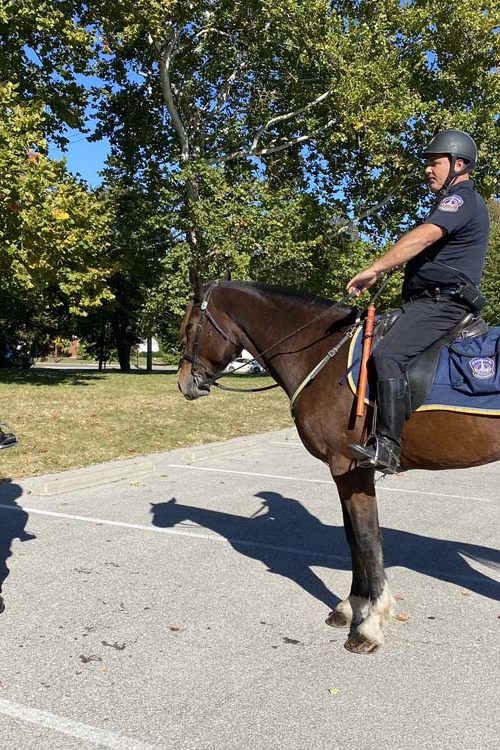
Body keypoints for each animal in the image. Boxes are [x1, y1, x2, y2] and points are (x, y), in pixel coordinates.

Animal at [178, 270, 500, 654]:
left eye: (189, 326)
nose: (183, 383)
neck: (323, 356)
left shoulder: (350, 468)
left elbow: (366, 536)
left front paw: (370, 624)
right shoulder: (344, 473)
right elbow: (352, 538)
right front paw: (352, 607)